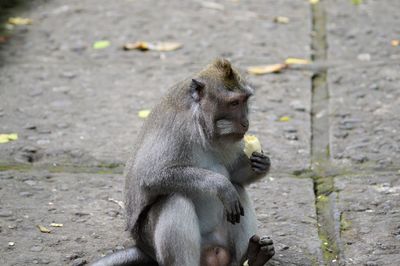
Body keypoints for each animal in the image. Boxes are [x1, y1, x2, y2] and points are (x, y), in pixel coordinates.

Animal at [92, 58, 274, 266]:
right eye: (234, 103)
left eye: (245, 101)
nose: (246, 123)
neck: (201, 123)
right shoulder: (178, 128)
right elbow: (149, 177)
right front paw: (220, 184)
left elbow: (235, 173)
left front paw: (262, 164)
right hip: (151, 241)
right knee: (176, 199)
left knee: (238, 188)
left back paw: (252, 257)